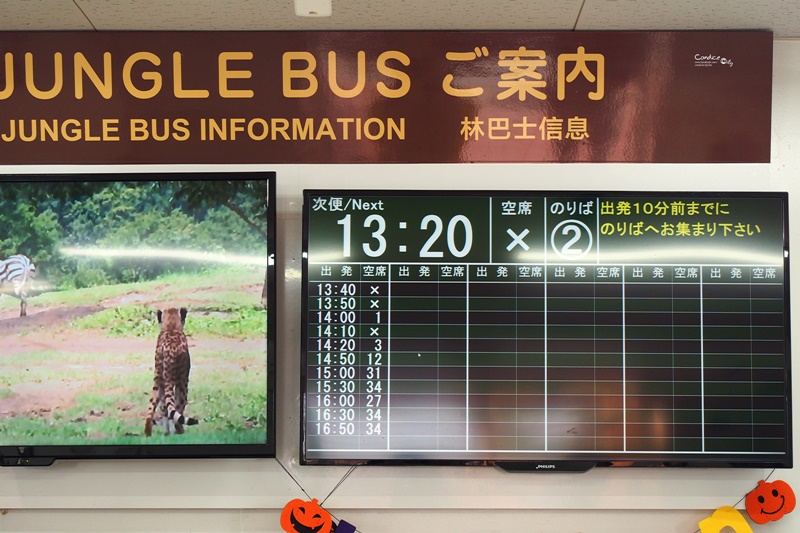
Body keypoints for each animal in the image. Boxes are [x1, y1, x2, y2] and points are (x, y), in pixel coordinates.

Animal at [145, 306, 198, 434]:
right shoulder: (183, 380)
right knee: (178, 408)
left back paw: (149, 433)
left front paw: (166, 433)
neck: (171, 327)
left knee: (152, 408)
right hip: (179, 384)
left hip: (158, 380)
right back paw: (180, 431)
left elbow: (164, 409)